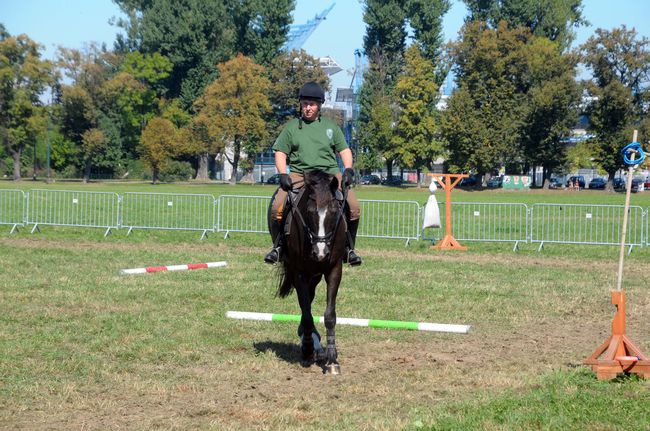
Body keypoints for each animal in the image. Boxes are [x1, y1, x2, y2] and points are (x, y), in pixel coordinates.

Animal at [274, 170, 346, 374]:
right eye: (310, 211)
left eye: (333, 211)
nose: (320, 252)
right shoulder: (299, 272)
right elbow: (306, 313)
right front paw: (307, 349)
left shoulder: (334, 270)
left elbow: (329, 316)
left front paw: (332, 360)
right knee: (305, 305)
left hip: (315, 275)